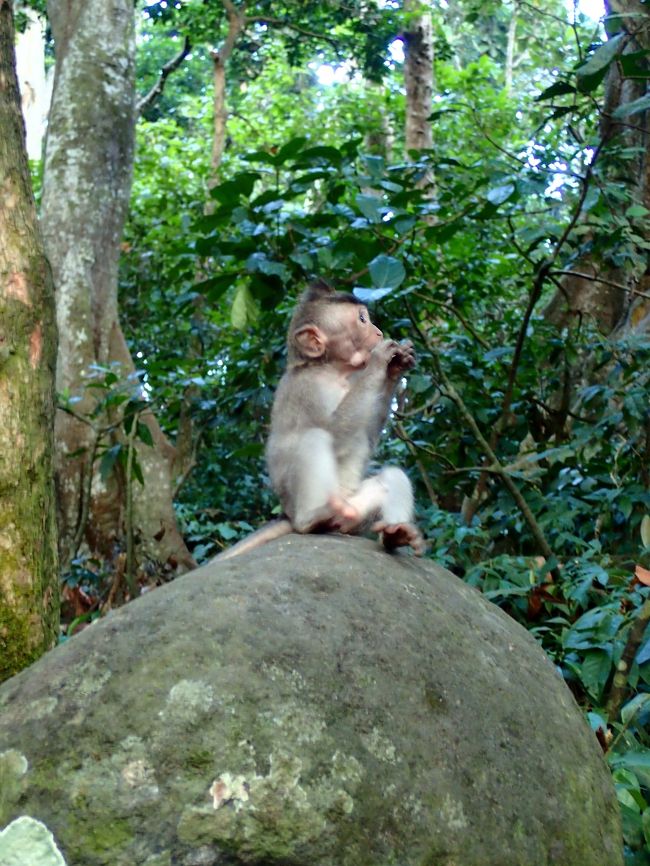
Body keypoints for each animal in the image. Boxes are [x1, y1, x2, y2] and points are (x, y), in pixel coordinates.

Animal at [214, 278, 420, 560]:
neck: (333, 371)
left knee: (392, 479)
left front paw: (395, 368)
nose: (378, 333)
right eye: (362, 320)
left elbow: (366, 437)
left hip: (355, 511)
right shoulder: (308, 388)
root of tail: (287, 515)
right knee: (313, 437)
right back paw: (311, 519)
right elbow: (334, 435)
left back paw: (395, 534)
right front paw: (380, 359)